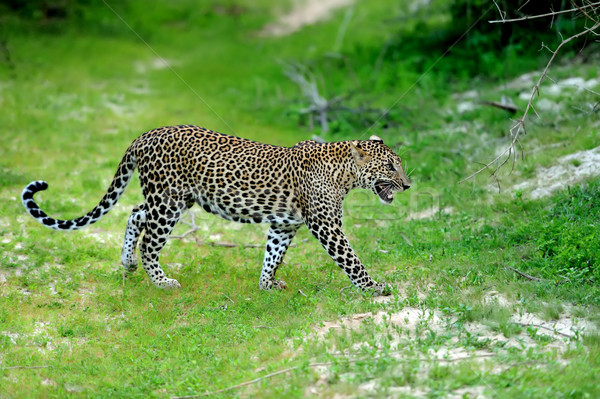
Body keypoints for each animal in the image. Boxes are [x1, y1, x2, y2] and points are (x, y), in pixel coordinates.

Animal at [19, 126, 412, 296]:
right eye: (390, 166)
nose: (408, 185)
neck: (344, 172)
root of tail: (144, 135)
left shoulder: (285, 225)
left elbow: (273, 255)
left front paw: (267, 284)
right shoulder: (326, 226)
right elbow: (352, 260)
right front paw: (375, 287)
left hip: (171, 199)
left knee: (134, 213)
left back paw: (127, 264)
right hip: (169, 202)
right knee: (150, 243)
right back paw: (161, 281)